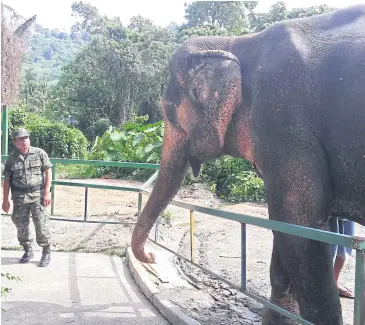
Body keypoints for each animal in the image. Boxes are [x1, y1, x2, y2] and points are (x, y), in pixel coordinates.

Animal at [131, 4, 364, 324]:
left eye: (167, 112)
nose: (152, 258)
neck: (238, 42)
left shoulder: (283, 123)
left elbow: (299, 229)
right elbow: (295, 228)